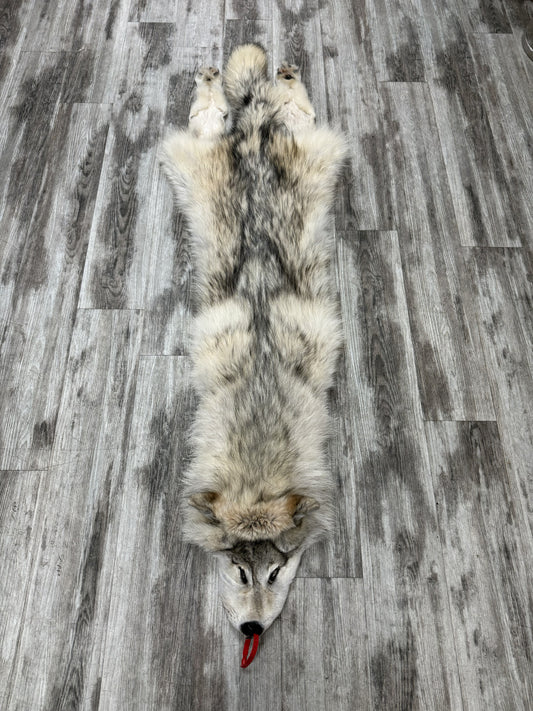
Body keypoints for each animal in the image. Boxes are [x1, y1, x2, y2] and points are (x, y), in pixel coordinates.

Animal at [159, 45, 347, 639]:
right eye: (239, 571)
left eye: (277, 570)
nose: (250, 632)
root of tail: (253, 131)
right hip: (200, 149)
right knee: (216, 109)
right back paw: (224, 76)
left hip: (301, 137)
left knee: (283, 102)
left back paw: (271, 76)